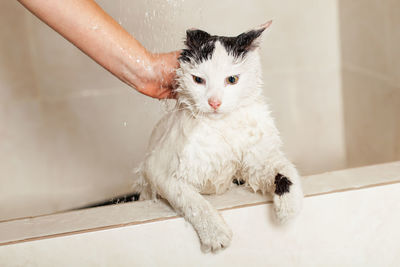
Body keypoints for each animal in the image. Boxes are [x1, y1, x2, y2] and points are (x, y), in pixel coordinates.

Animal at [135, 21, 304, 253]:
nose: (214, 102)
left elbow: (285, 171)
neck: (222, 128)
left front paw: (290, 206)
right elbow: (191, 200)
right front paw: (215, 232)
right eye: (198, 80)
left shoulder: (258, 160)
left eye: (232, 80)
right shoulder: (158, 170)